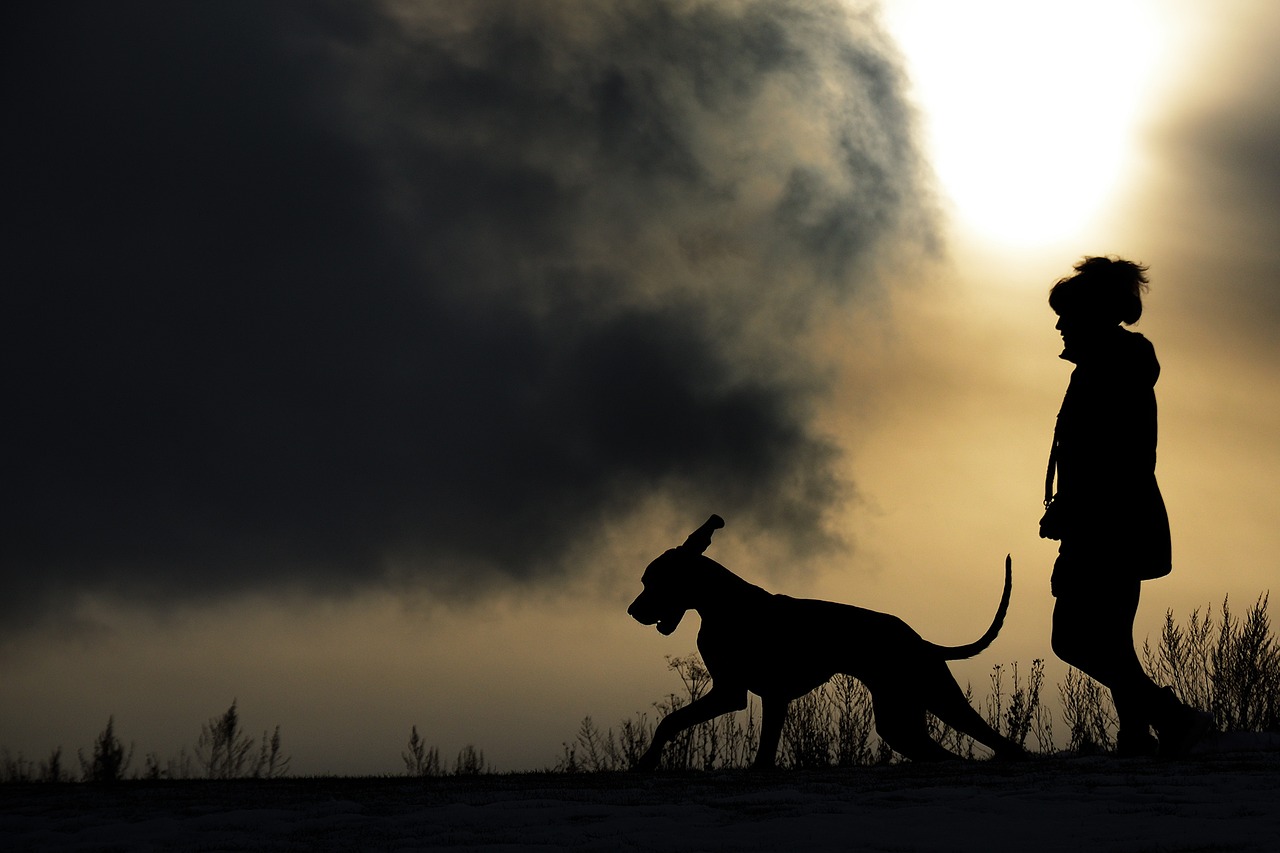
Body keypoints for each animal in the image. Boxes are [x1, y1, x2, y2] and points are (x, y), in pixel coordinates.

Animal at [624, 514, 1024, 768]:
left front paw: (646, 762)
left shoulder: (730, 693)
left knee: (1002, 744)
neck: (723, 605)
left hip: (939, 698)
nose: (631, 611)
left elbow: (670, 721)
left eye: (652, 581)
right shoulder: (769, 697)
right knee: (942, 752)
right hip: (900, 718)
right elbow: (763, 754)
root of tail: (921, 640)